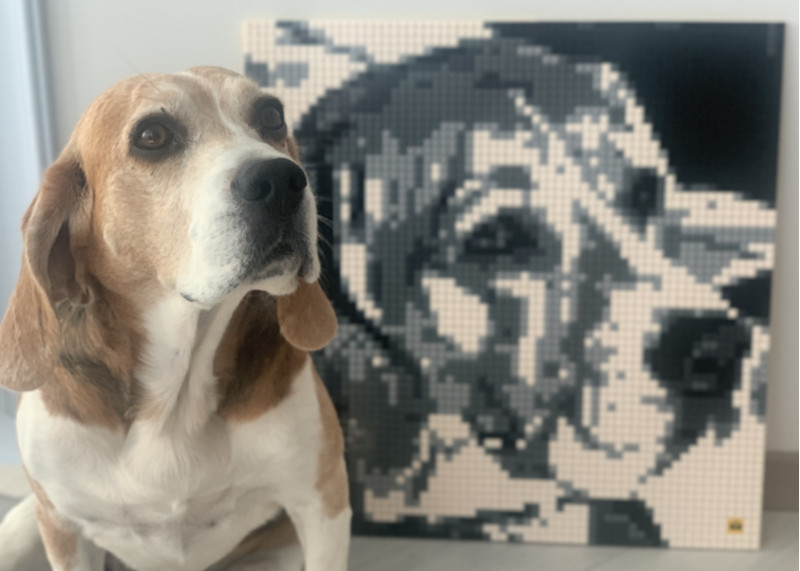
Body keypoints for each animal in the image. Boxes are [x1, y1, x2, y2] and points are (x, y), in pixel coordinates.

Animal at [0, 66, 350, 570]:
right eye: (153, 135)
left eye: (271, 116)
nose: (284, 180)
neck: (174, 396)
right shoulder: (63, 529)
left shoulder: (322, 502)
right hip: (24, 523)